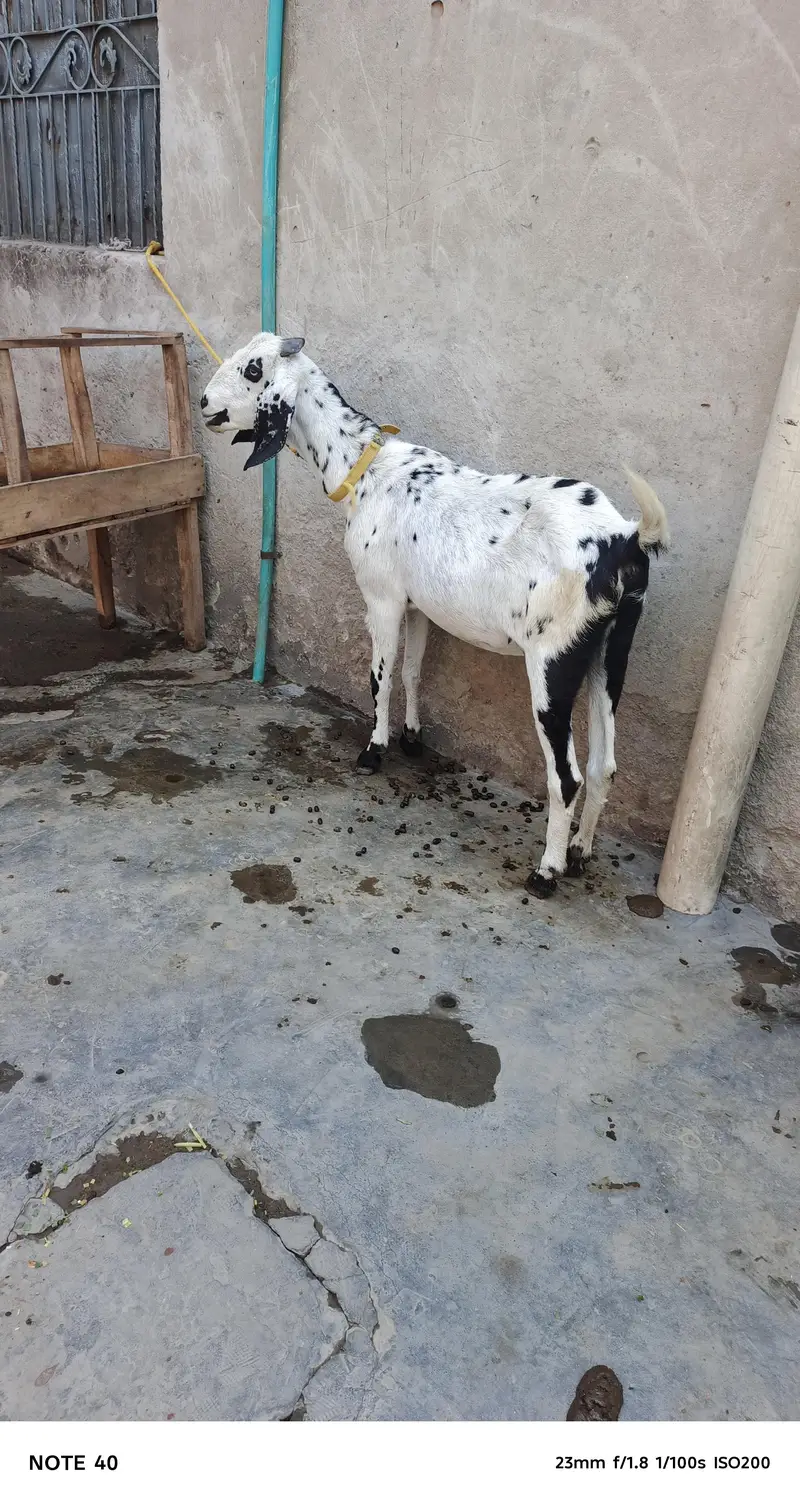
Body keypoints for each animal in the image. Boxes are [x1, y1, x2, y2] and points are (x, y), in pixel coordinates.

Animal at [201, 334, 668, 896]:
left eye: (253, 370)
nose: (204, 404)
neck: (364, 470)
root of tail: (624, 541)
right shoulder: (418, 604)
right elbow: (412, 670)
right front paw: (412, 738)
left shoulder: (381, 596)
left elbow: (379, 676)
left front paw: (374, 750)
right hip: (610, 650)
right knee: (606, 766)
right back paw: (580, 852)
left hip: (554, 656)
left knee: (567, 776)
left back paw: (547, 871)